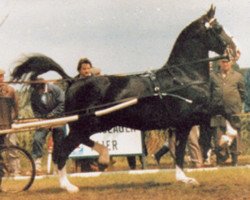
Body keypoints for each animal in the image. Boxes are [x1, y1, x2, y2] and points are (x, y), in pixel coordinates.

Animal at [11, 5, 237, 191]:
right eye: (218, 28)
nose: (235, 51)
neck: (182, 76)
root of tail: (72, 80)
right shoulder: (191, 115)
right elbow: (221, 114)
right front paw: (227, 138)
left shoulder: (184, 122)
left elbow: (183, 147)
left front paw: (184, 177)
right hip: (87, 123)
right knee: (62, 150)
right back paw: (69, 185)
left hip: (94, 124)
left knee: (75, 144)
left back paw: (102, 156)